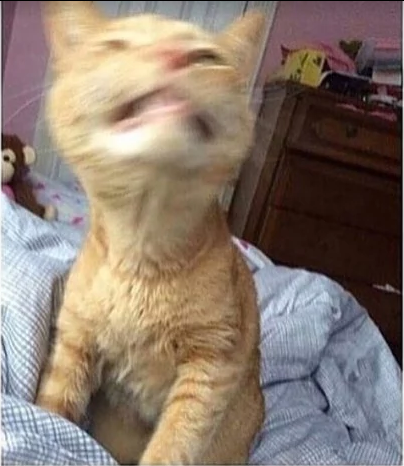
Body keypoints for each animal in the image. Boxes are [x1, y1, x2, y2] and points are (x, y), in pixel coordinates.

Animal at [36, 2, 265, 464]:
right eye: (115, 45)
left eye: (206, 57)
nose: (172, 56)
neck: (141, 251)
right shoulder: (73, 343)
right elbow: (52, 413)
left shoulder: (211, 365)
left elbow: (176, 442)